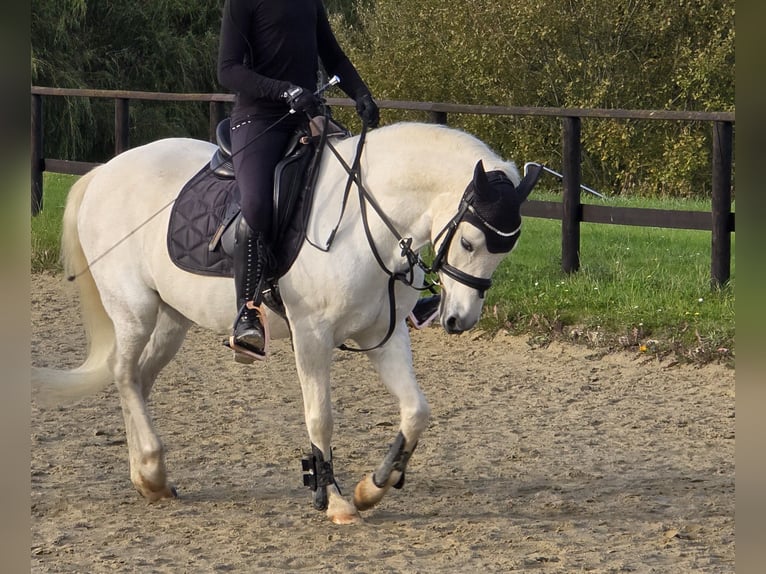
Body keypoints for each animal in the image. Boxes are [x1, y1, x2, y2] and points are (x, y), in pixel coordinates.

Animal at [31, 121, 540, 528]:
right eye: (471, 242)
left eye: (505, 250)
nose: (459, 319)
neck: (365, 224)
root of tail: (103, 172)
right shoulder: (312, 335)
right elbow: (321, 417)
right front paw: (333, 499)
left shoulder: (384, 335)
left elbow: (417, 412)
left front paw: (372, 486)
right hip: (134, 309)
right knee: (123, 372)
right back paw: (153, 470)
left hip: (171, 319)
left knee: (137, 379)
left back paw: (146, 477)